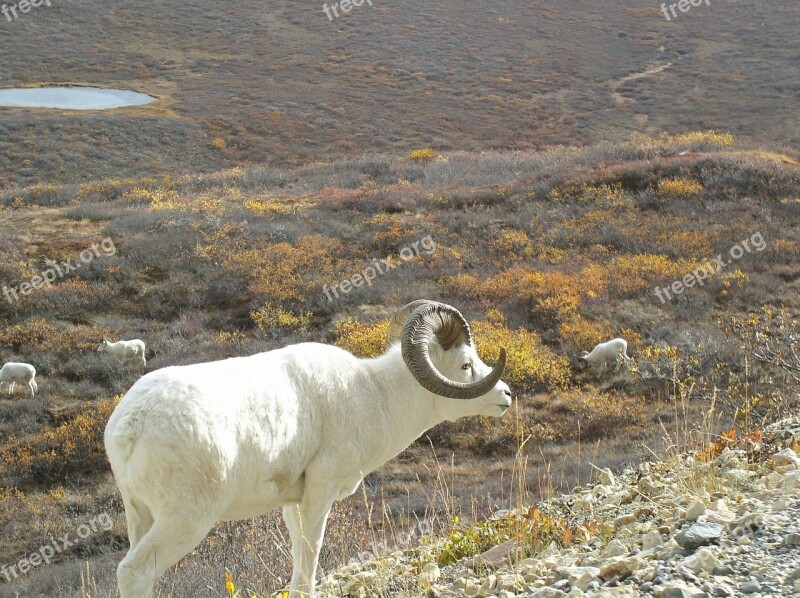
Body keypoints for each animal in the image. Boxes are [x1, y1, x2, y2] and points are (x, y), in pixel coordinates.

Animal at [106, 300, 510, 598]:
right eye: (465, 364)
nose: (505, 395)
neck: (375, 395)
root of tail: (131, 425)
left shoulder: (292, 502)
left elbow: (299, 553)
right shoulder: (320, 491)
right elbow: (311, 549)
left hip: (141, 516)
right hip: (186, 521)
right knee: (133, 573)